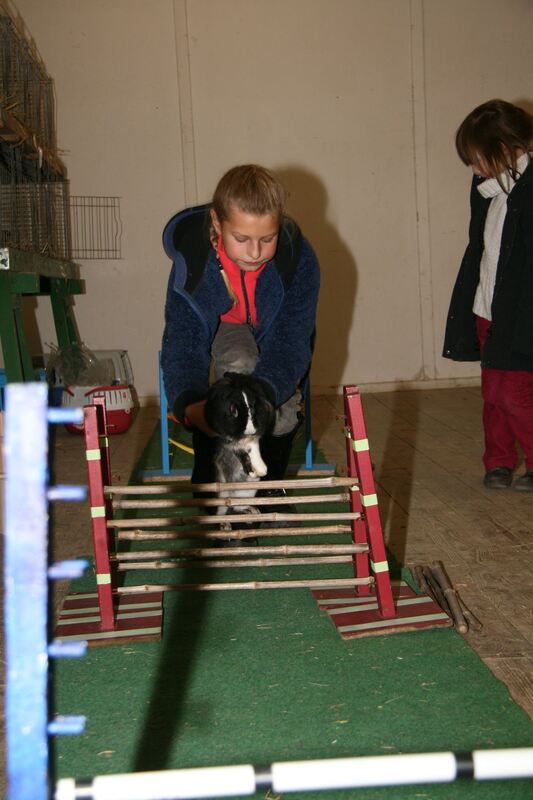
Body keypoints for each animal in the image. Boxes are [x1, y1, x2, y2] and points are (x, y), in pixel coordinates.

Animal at [205, 372, 276, 516]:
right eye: (233, 409)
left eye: (254, 407)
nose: (250, 430)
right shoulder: (230, 443)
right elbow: (242, 453)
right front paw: (253, 471)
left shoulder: (253, 440)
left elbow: (253, 448)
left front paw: (261, 471)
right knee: (227, 507)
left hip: (247, 492)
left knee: (238, 506)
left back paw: (253, 510)